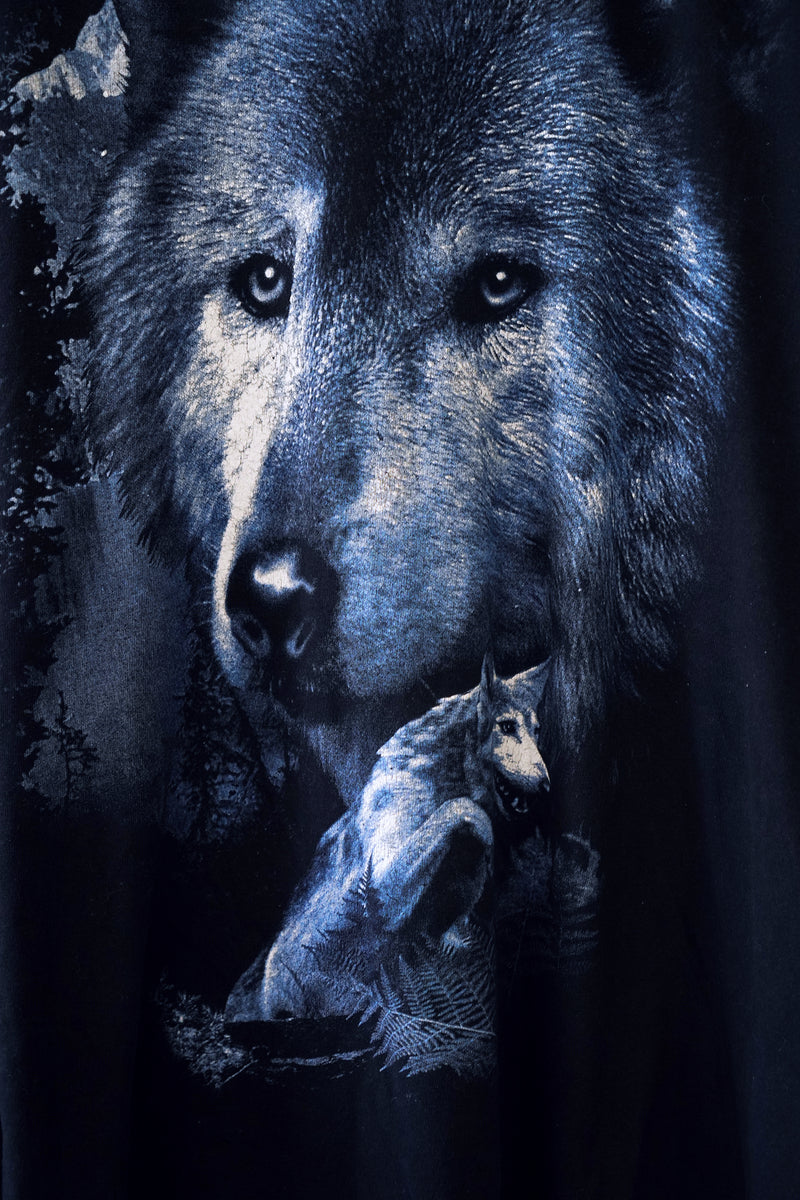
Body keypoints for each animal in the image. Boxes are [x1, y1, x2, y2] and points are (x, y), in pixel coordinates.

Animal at [225, 657, 551, 1022]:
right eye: (507, 727)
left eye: (536, 731)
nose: (546, 785)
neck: (444, 776)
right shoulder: (379, 886)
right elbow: (462, 810)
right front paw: (485, 833)